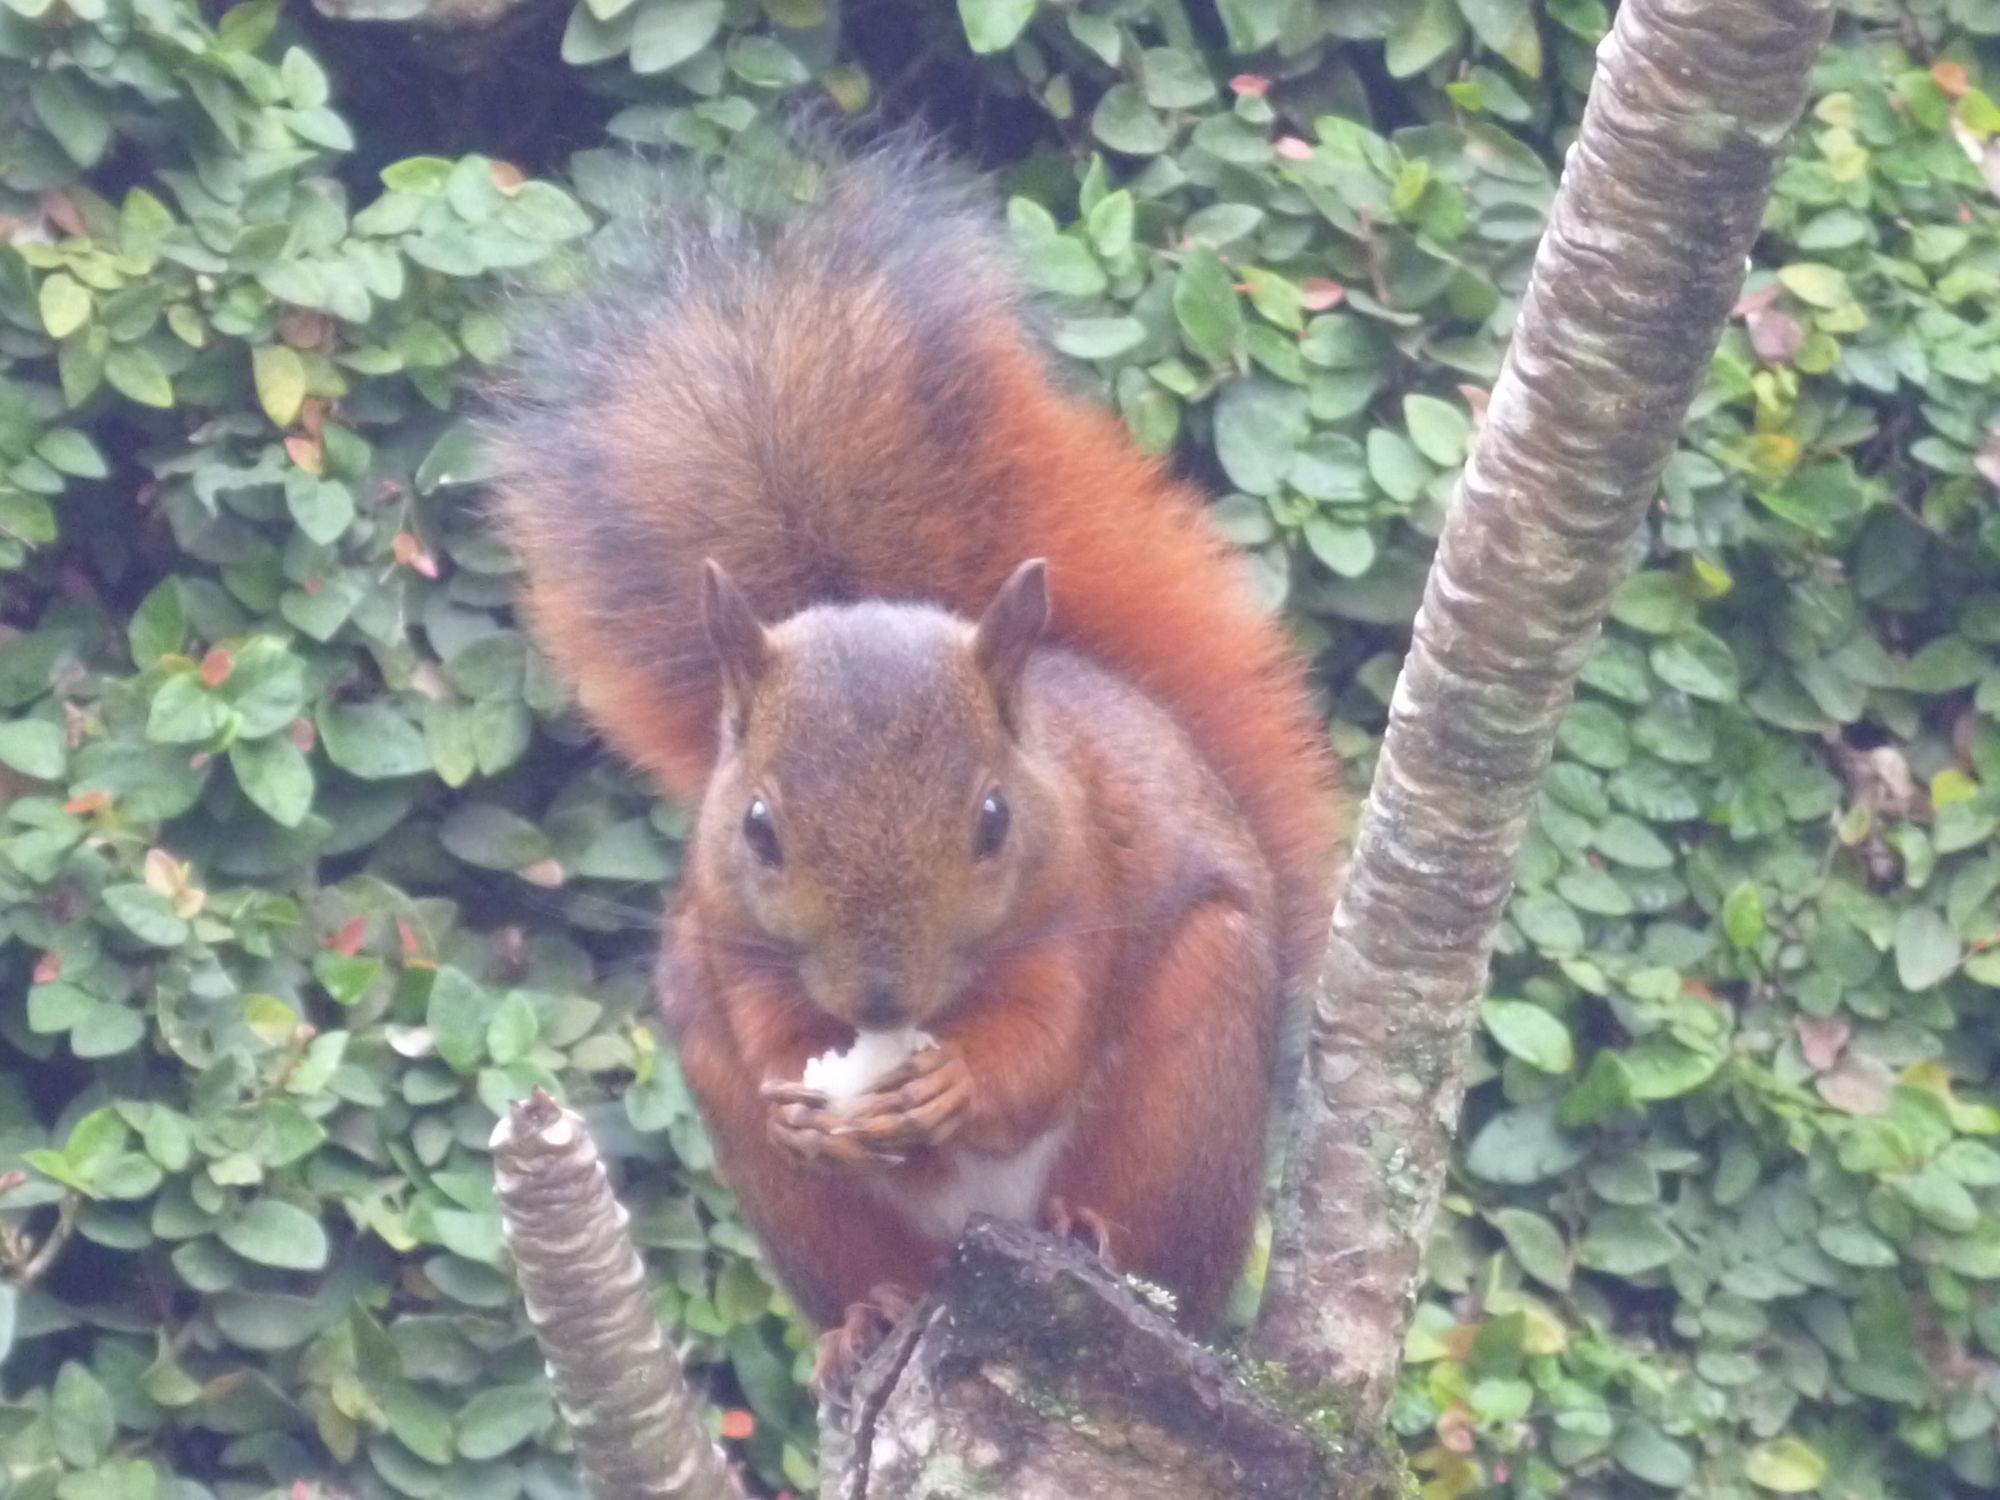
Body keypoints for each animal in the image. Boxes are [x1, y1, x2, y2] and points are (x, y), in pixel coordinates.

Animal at [480, 135, 1344, 1392]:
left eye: (993, 819)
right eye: (757, 828)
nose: (882, 999)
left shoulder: (1079, 889)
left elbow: (1042, 1041)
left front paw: (956, 1082)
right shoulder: (725, 934)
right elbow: (767, 1019)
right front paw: (804, 1097)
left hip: (1191, 1064)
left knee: (1149, 1238)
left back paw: (1095, 1237)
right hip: (788, 1187)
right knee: (864, 1265)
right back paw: (869, 1315)